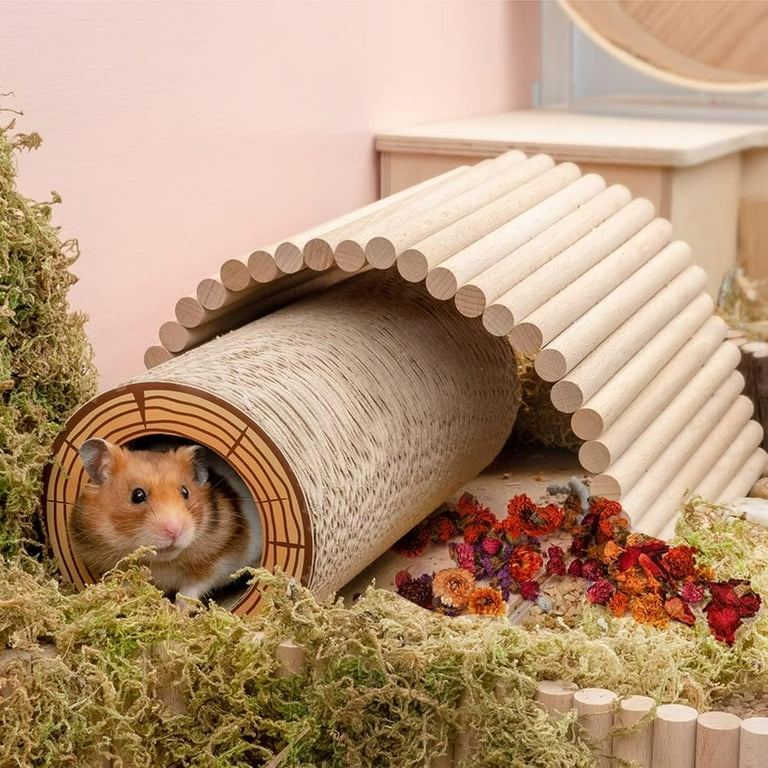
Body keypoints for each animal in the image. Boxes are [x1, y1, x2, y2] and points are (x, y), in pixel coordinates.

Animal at [69, 437, 262, 601]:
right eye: (137, 495)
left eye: (185, 492)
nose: (174, 531)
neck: (161, 563)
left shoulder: (217, 562)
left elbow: (190, 592)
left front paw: (178, 615)